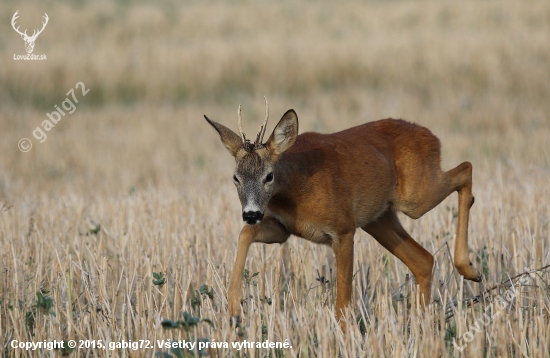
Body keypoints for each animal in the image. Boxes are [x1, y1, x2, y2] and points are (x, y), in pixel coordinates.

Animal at [205, 99, 480, 328]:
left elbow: (343, 303)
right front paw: (234, 309)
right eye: (236, 178)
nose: (251, 213)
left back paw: (469, 270)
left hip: (414, 197)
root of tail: (432, 137)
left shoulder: (343, 229)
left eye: (269, 176)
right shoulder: (283, 229)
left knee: (466, 168)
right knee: (423, 260)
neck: (295, 190)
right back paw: (422, 323)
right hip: (379, 218)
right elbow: (245, 233)